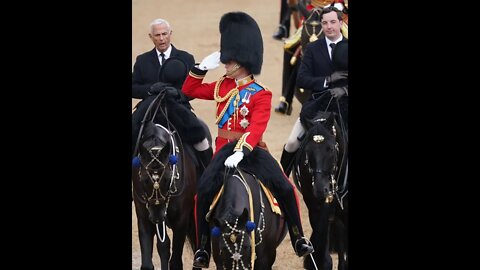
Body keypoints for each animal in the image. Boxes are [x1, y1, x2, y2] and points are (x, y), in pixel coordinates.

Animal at [133, 91, 212, 270]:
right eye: (143, 179)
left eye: (169, 177)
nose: (156, 215)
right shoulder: (144, 217)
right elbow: (151, 258)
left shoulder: (181, 220)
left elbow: (175, 261)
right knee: (164, 245)